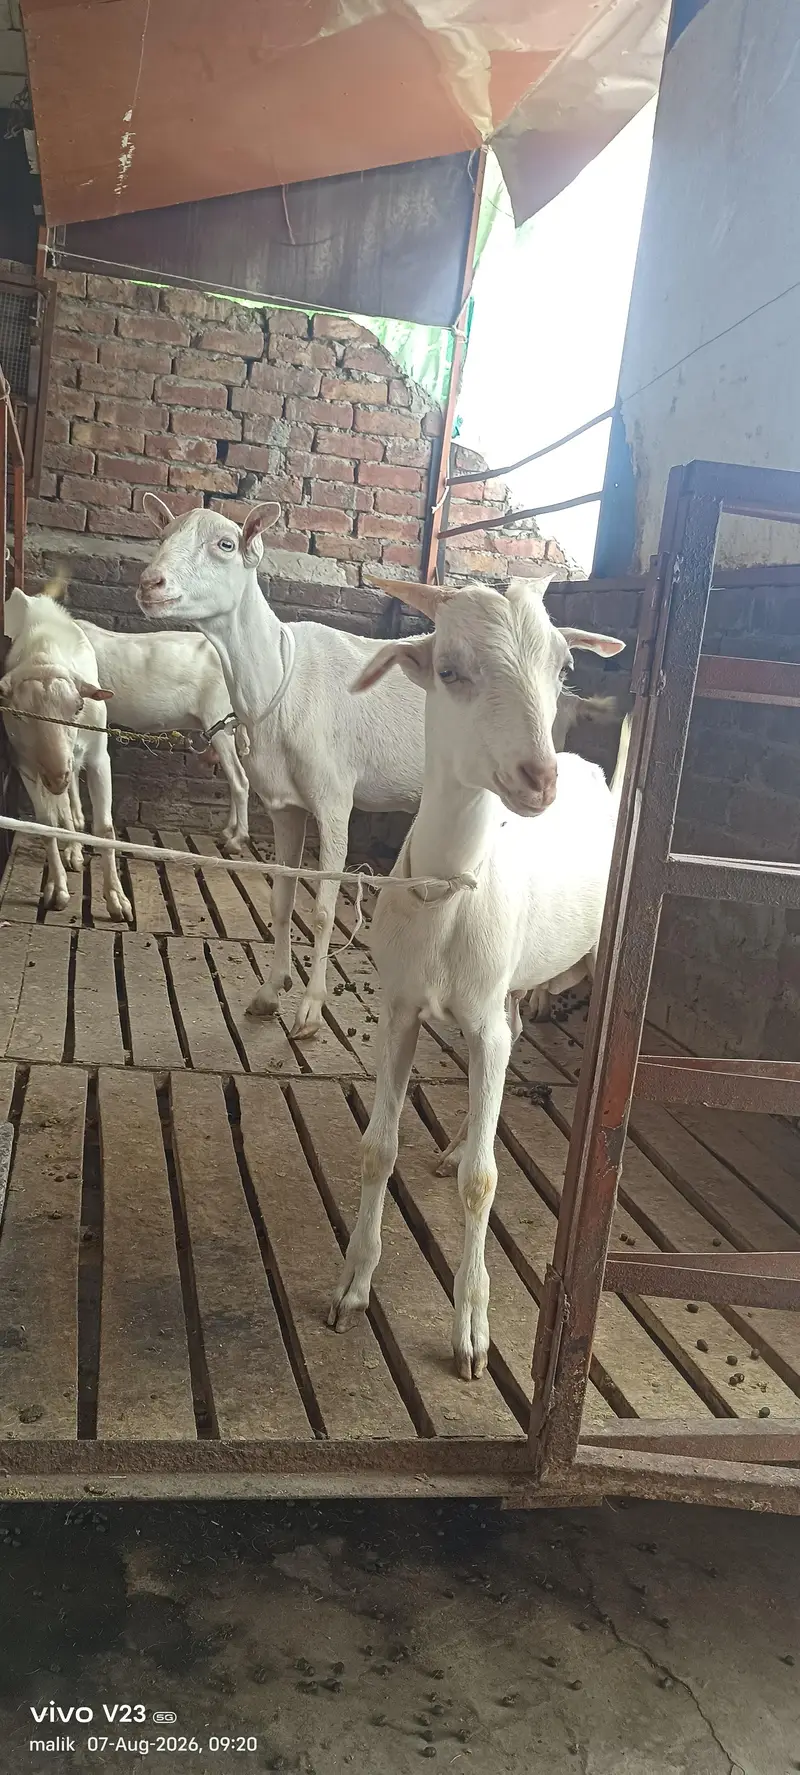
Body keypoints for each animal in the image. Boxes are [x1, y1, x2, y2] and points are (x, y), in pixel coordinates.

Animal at [1, 585, 132, 922]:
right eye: (19, 715)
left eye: (79, 707)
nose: (55, 775)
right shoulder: (26, 764)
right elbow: (46, 822)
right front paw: (57, 890)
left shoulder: (99, 756)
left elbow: (105, 827)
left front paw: (116, 899)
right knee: (65, 807)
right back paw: (72, 847)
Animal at [328, 575, 627, 1381]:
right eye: (451, 669)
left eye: (565, 667)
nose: (539, 778)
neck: (451, 890)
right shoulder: (401, 1009)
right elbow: (377, 1148)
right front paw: (352, 1285)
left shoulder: (482, 1018)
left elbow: (486, 1183)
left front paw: (471, 1331)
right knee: (518, 1029)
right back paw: (460, 1141)